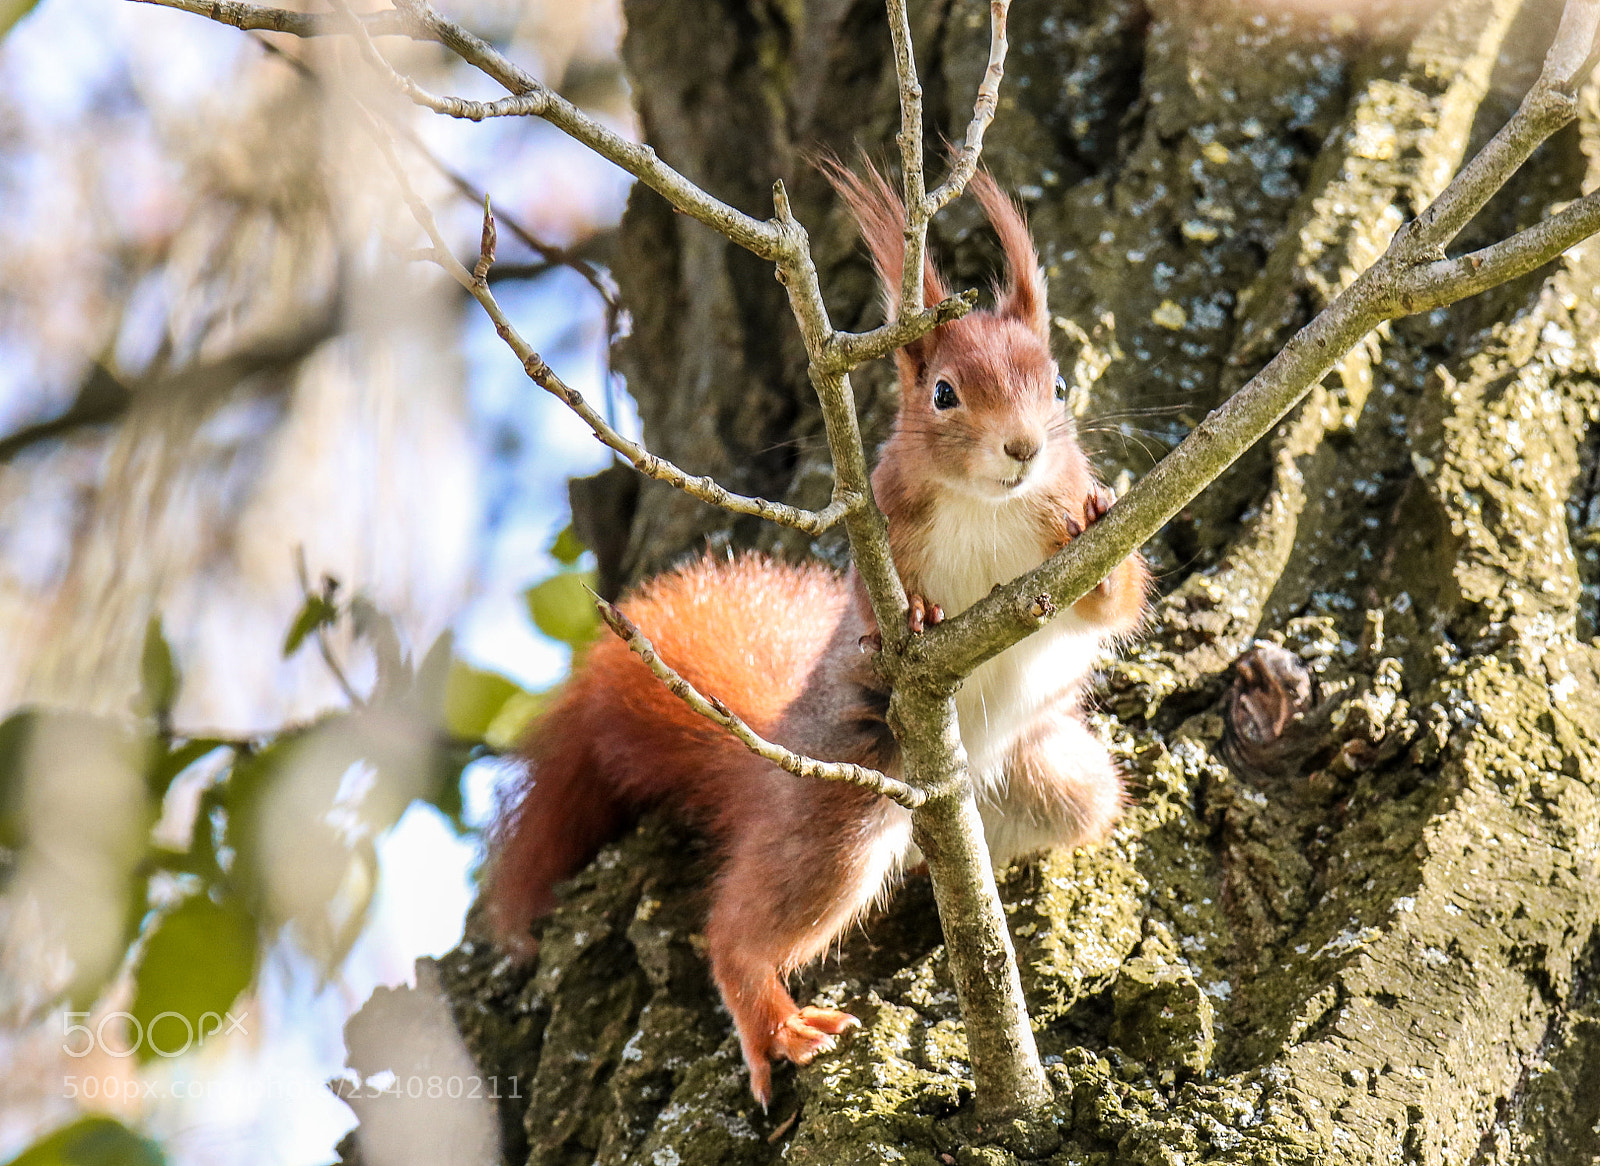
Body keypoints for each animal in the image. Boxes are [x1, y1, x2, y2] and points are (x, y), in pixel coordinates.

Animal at [481, 161, 1150, 1106]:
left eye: (1057, 387)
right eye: (943, 392)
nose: (1022, 448)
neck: (991, 506)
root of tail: (775, 750)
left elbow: (1114, 603)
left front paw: (1096, 512)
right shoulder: (886, 530)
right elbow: (880, 615)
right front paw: (920, 616)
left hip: (1053, 781)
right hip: (847, 803)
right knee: (738, 930)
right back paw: (774, 1021)